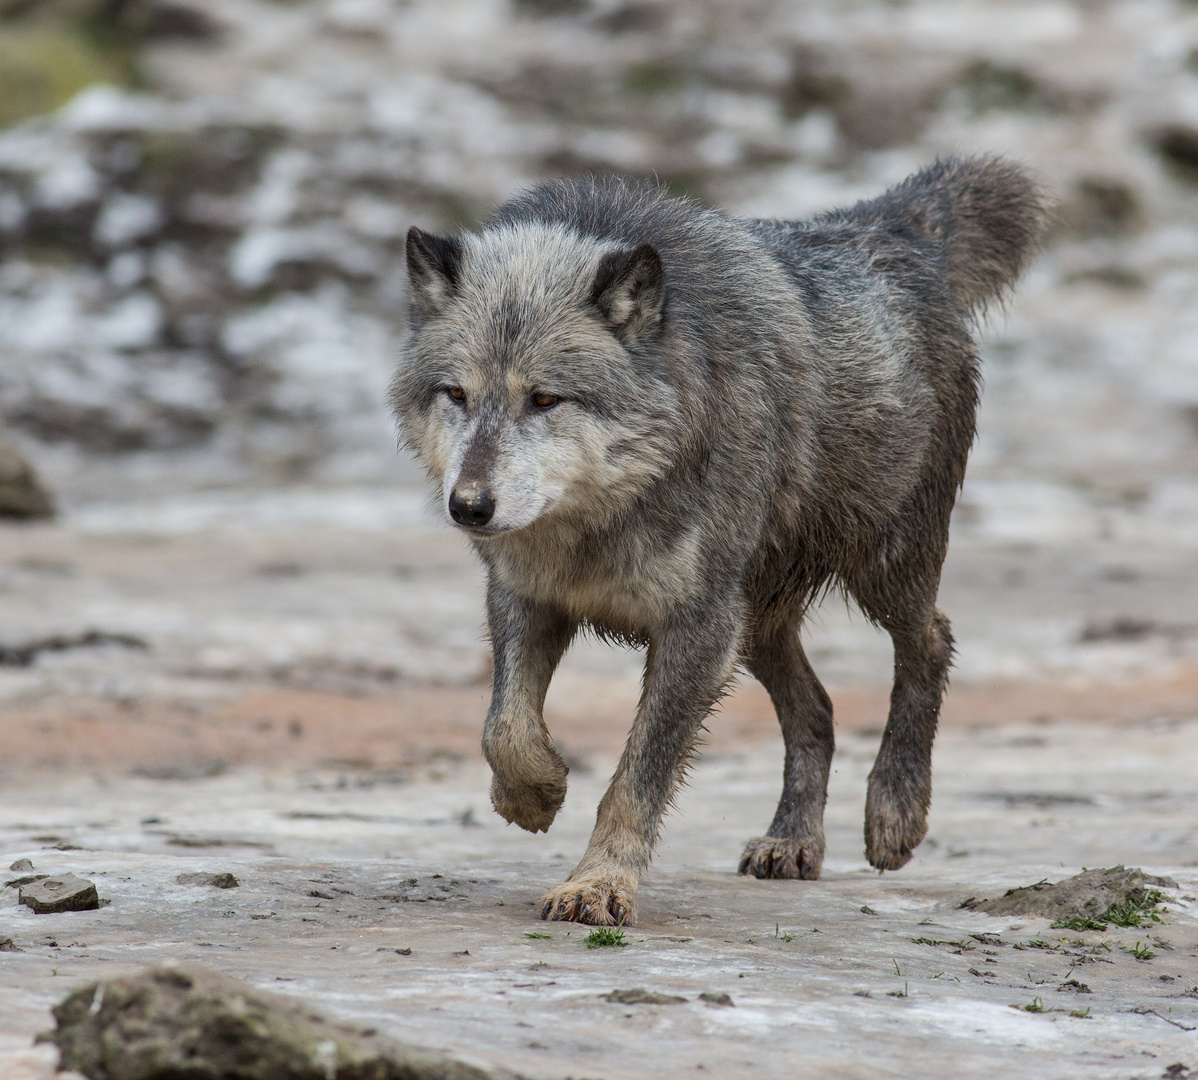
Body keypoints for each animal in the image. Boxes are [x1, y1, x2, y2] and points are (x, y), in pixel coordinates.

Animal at [390, 158, 1049, 929]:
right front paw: (533, 794)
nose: (469, 507)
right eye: (456, 394)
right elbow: (506, 728)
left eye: (545, 400)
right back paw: (792, 841)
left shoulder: (698, 627)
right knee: (819, 709)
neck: (603, 517)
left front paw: (598, 884)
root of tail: (890, 229)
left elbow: (636, 778)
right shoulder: (528, 597)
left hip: (878, 572)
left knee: (932, 643)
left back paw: (895, 812)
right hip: (757, 622)